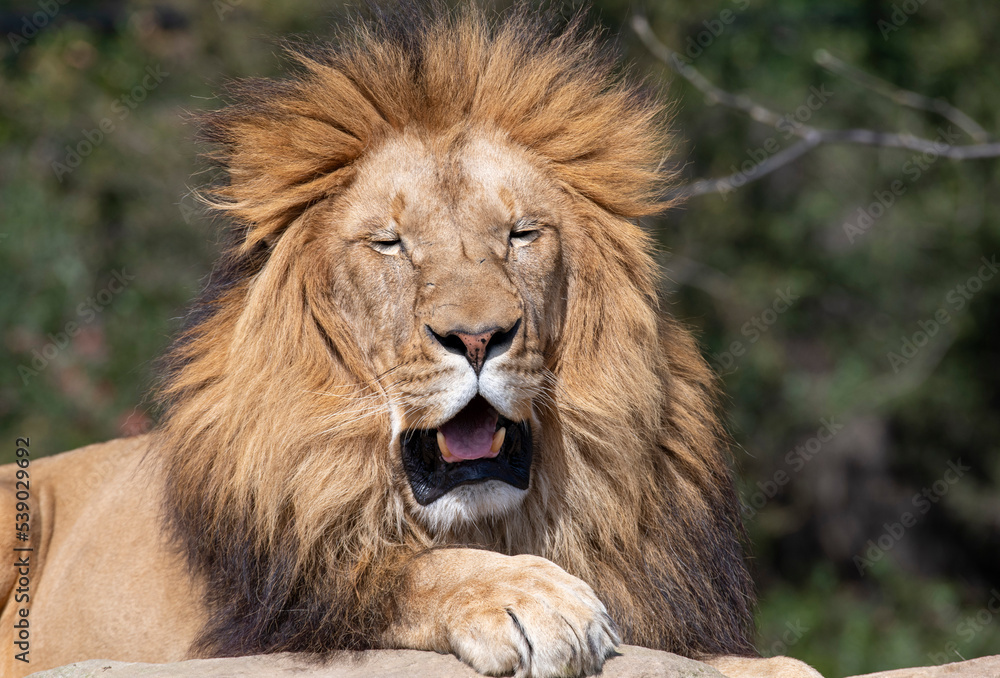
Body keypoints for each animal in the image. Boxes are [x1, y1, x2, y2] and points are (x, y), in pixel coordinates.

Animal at [3, 5, 824, 678]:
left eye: (520, 233)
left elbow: (786, 665)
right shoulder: (281, 609)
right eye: (390, 243)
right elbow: (408, 568)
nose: (478, 337)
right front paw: (533, 598)